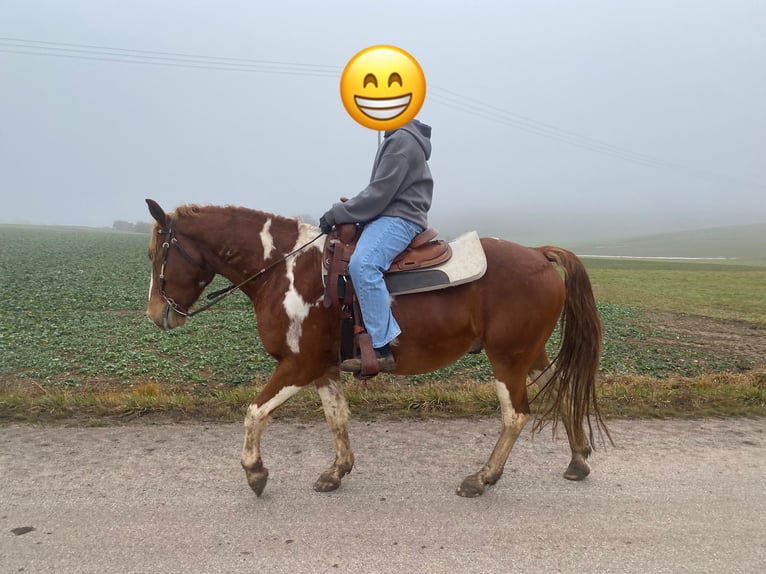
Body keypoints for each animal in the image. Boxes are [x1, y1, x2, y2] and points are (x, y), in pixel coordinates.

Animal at [144, 199, 610, 498]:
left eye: (155, 254)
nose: (156, 314)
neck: (284, 268)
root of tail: (538, 253)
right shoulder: (324, 368)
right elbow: (336, 417)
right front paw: (336, 472)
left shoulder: (298, 364)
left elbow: (255, 412)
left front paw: (255, 472)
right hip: (529, 355)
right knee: (560, 390)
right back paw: (578, 460)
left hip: (507, 359)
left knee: (515, 415)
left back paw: (481, 478)